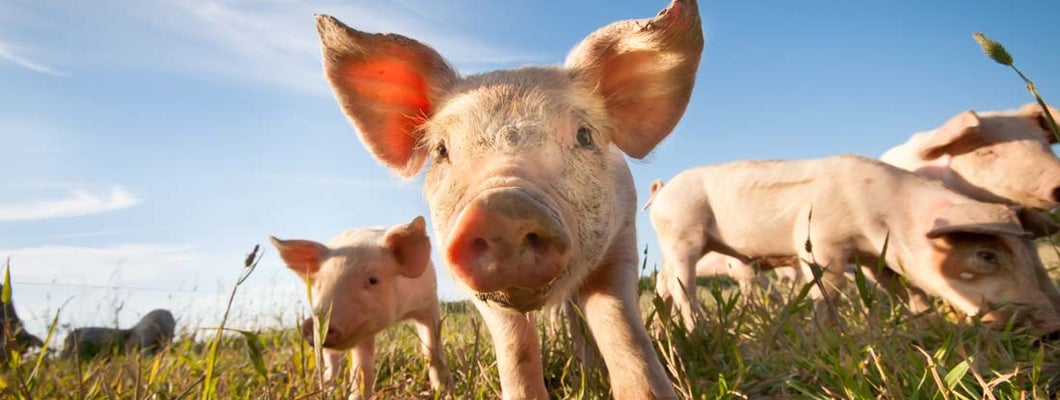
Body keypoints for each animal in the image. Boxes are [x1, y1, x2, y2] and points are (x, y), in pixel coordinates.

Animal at [270, 216, 452, 400]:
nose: (311, 323)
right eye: (320, 285)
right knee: (331, 364)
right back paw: (328, 390)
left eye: (373, 280)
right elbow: (362, 369)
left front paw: (446, 391)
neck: (398, 315)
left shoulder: (429, 301)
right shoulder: (362, 331)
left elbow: (432, 349)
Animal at [315, 0, 703, 397]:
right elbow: (515, 348)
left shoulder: (621, 240)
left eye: (584, 135)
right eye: (441, 150)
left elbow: (621, 326)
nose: (501, 207)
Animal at [664, 104, 1060, 320]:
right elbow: (829, 290)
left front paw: (925, 321)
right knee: (683, 287)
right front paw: (824, 332)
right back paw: (694, 327)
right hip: (681, 234)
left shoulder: (875, 258)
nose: (1051, 325)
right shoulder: (817, 243)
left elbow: (904, 290)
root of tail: (663, 192)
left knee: (665, 285)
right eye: (985, 255)